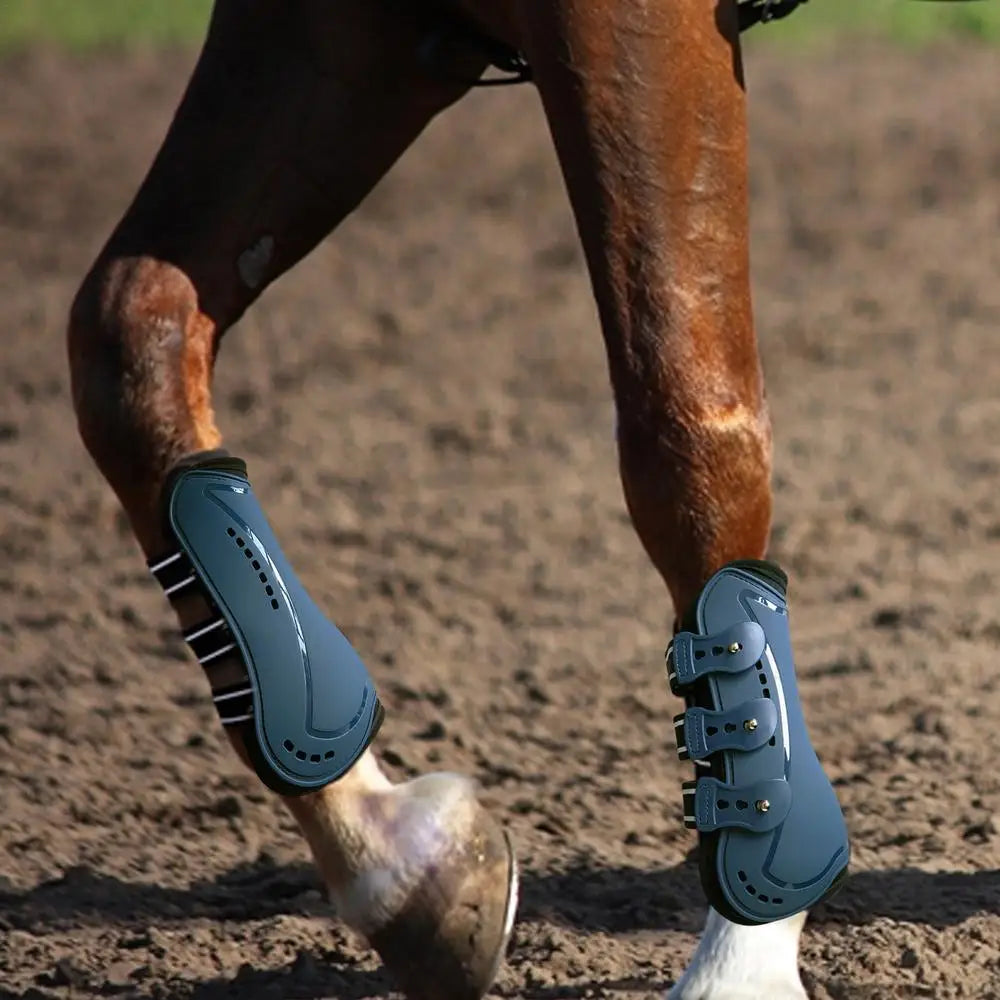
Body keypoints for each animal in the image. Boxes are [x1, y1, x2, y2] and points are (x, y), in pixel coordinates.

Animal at [67, 1, 825, 997]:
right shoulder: (334, 28)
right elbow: (127, 341)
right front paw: (406, 868)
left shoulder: (631, 26)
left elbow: (686, 417)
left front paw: (742, 955)